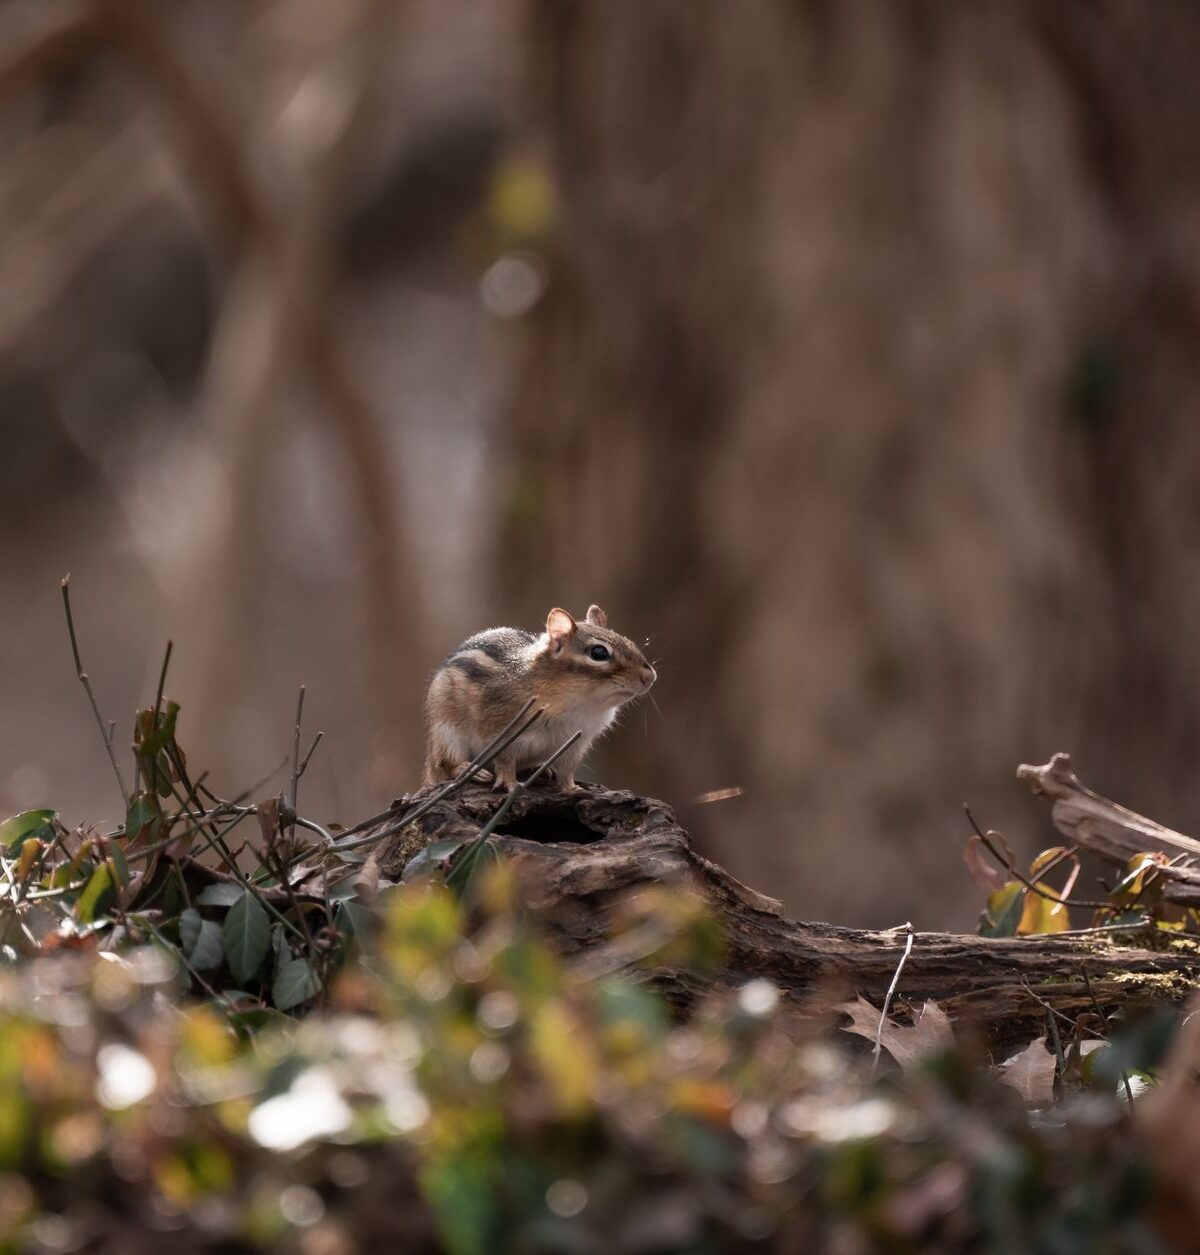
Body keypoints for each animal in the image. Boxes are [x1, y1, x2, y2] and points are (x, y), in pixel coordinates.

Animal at [423, 604, 656, 791]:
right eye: (599, 653)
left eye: (629, 642)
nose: (650, 677)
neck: (581, 704)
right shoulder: (501, 727)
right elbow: (505, 759)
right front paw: (509, 783)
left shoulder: (577, 742)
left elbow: (568, 768)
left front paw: (571, 788)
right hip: (446, 731)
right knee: (445, 762)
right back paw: (467, 768)